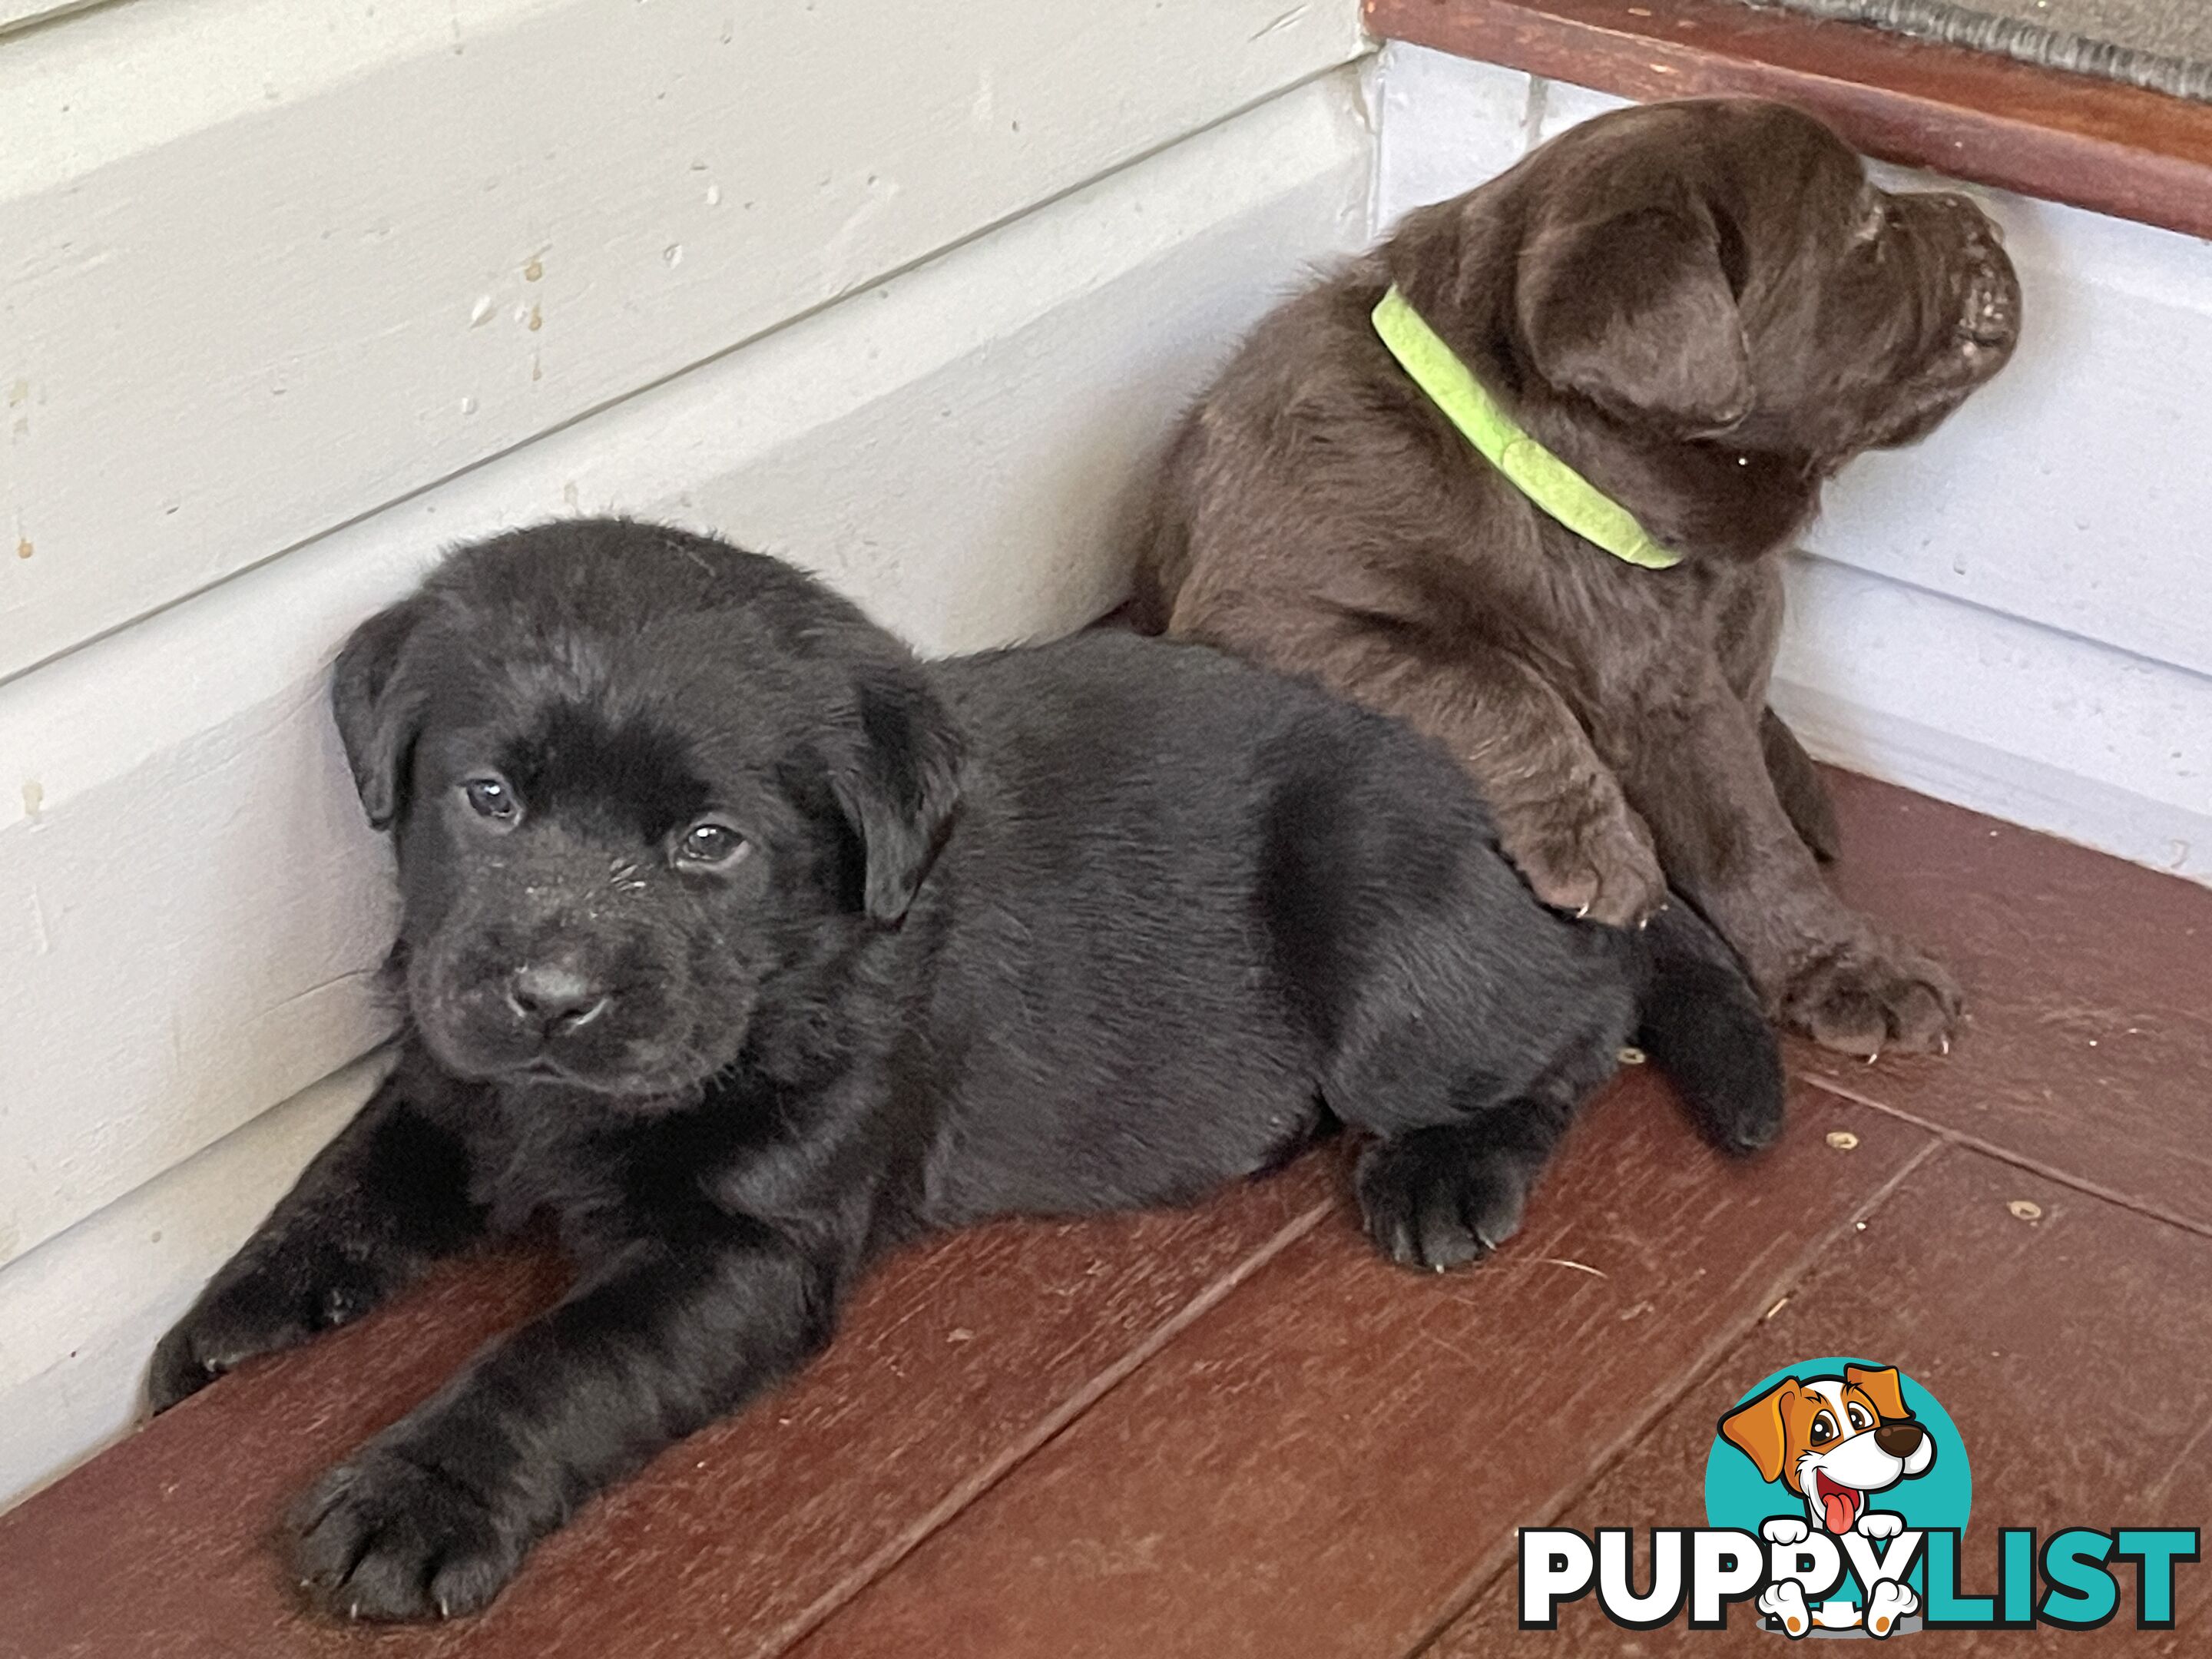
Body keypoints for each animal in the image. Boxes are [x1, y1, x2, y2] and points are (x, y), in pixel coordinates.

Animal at [151, 522, 1778, 1628]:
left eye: (709, 844)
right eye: (487, 798)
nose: (551, 996)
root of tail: (1499, 815)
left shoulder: (743, 1248)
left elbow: (563, 1359)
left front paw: (416, 1495)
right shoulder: (455, 1068)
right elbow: (353, 1172)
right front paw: (232, 1325)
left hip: (1389, 947)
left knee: (1583, 1014)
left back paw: (1452, 1168)